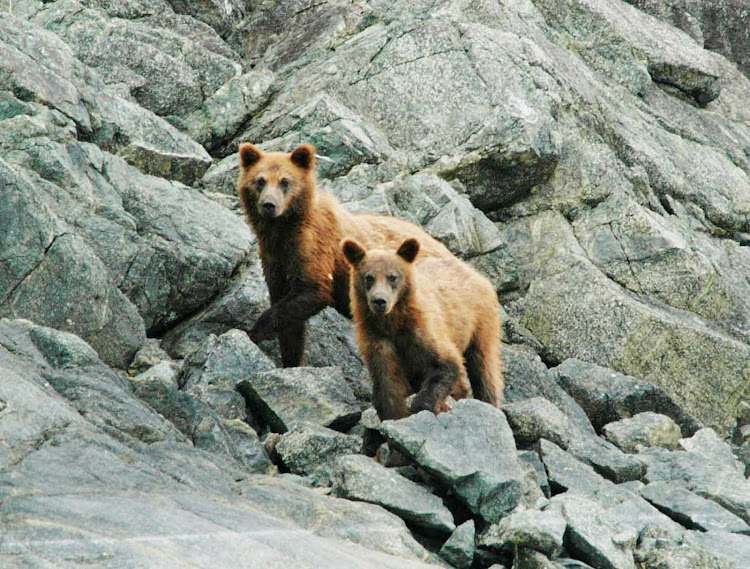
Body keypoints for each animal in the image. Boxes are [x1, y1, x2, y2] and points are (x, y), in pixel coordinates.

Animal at [239, 141, 452, 364]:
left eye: (285, 182)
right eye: (260, 181)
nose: (269, 205)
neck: (282, 229)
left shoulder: (312, 244)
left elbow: (312, 288)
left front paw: (255, 330)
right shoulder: (274, 257)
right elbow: (288, 315)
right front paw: (290, 360)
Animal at [346, 236, 508, 422]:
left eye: (392, 276)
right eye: (369, 277)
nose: (380, 301)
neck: (392, 323)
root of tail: (473, 270)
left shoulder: (422, 331)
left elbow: (445, 364)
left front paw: (424, 406)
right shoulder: (377, 340)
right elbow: (387, 382)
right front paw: (394, 415)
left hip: (480, 323)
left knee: (484, 368)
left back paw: (488, 402)